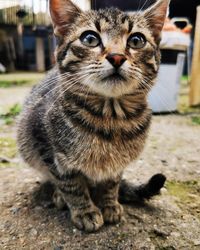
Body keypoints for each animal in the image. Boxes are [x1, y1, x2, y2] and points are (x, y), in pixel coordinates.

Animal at [18, 0, 170, 232]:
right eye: (90, 38)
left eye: (136, 40)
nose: (117, 57)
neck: (111, 118)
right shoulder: (44, 144)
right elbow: (70, 184)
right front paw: (84, 210)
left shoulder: (117, 165)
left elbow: (112, 182)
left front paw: (109, 203)